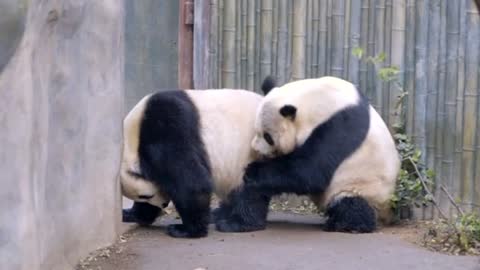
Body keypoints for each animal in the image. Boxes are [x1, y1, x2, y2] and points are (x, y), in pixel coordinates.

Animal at [120, 89, 262, 238]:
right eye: (143, 197)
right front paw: (131, 214)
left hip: (252, 150)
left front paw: (186, 230)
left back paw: (237, 223)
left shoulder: (167, 127)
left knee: (249, 189)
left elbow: (190, 182)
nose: (164, 204)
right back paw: (219, 214)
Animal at [216, 77, 400, 233]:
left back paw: (345, 224)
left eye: (268, 136)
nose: (256, 150)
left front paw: (253, 171)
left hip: (364, 186)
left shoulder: (340, 125)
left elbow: (310, 171)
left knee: (351, 204)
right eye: (256, 130)